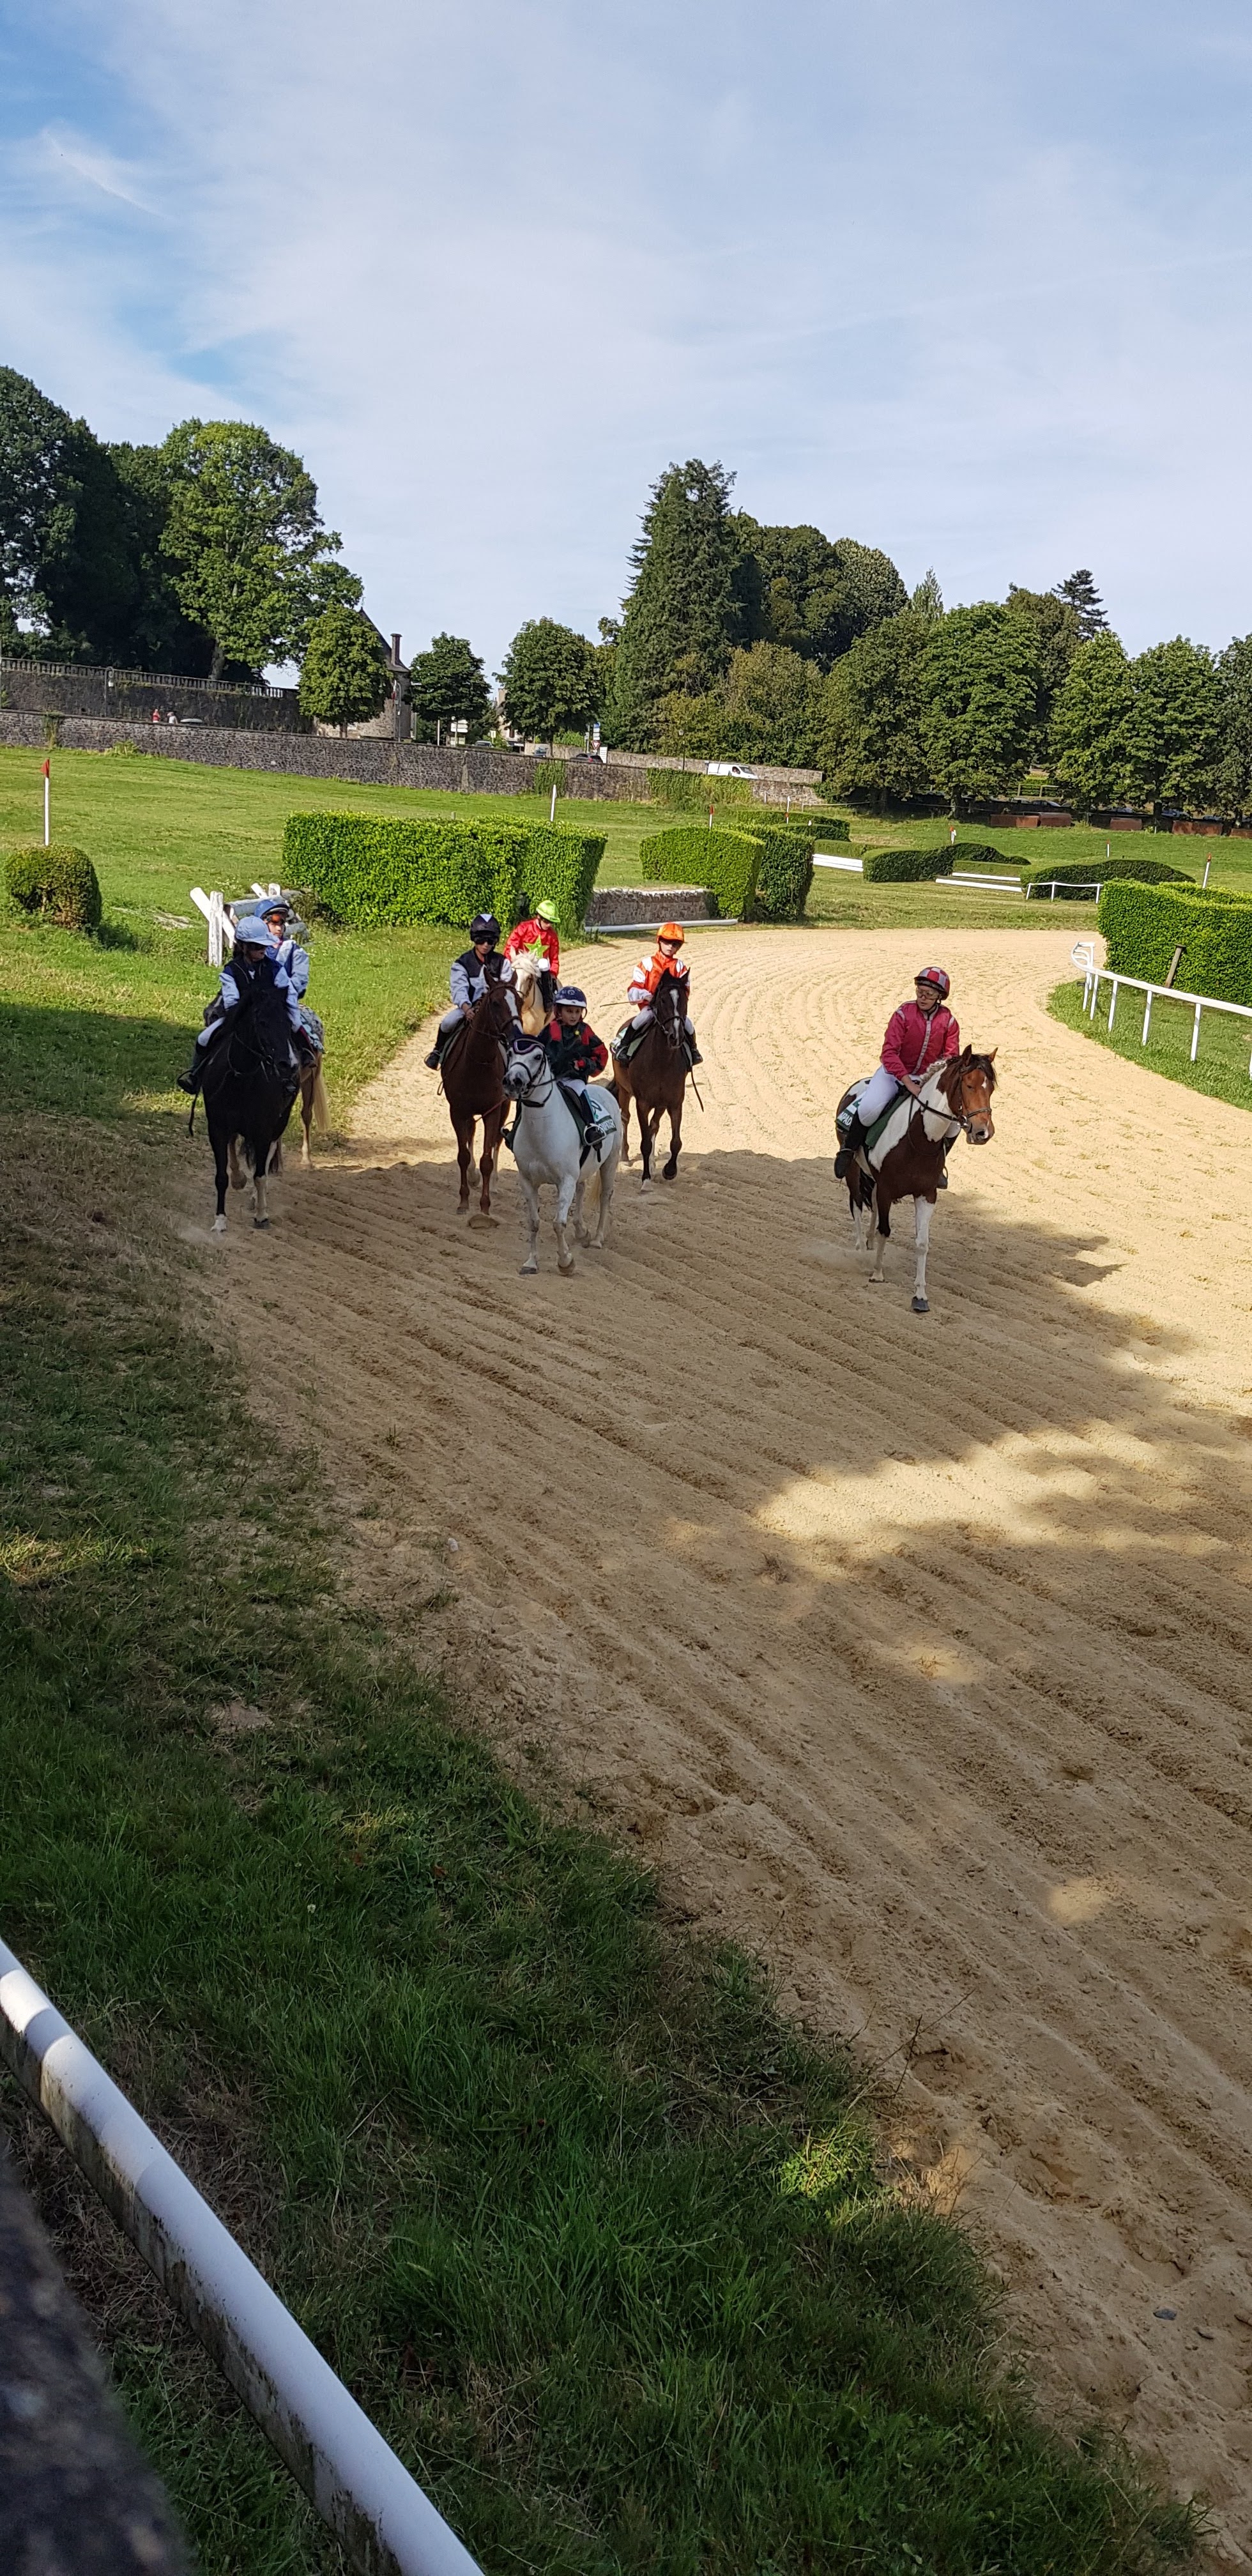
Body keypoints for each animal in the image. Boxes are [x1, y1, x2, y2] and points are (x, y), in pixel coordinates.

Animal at [201, 983, 301, 1235]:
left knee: (266, 1160)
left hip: (279, 1123)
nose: (289, 1064)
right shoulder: (217, 1127)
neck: (241, 1080)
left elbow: (260, 1175)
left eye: (288, 1024)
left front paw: (261, 1215)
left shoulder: (263, 1131)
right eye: (262, 1022)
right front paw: (220, 1221)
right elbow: (221, 1176)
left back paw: (257, 1200)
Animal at [440, 974, 515, 1222]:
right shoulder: (457, 1110)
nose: (514, 1034)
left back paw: (495, 1183)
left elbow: (487, 1160)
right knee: (471, 1133)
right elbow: (463, 1155)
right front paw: (464, 1202)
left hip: (505, 1107)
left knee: (497, 1141)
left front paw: (485, 1206)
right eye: (496, 1003)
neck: (477, 1064)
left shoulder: (493, 1110)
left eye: (519, 1001)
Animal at [502, 1034, 622, 1274]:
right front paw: (531, 1262)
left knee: (605, 1196)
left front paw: (566, 1261)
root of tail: (605, 1091)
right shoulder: (528, 1180)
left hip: (610, 1162)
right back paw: (582, 1231)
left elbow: (558, 1223)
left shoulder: (566, 1179)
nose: (513, 1081)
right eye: (510, 1053)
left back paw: (597, 1239)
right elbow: (534, 1222)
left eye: (537, 1057)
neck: (541, 1128)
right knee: (582, 1189)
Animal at [610, 969, 689, 1186]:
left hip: (660, 1104)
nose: (676, 1037)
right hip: (624, 1090)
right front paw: (645, 1179)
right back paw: (625, 1156)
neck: (661, 1062)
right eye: (662, 1000)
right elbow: (645, 1141)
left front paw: (669, 1170)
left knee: (655, 1125)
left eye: (685, 999)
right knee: (625, 1117)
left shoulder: (674, 1103)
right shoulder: (643, 1103)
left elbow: (676, 1142)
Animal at [835, 1048, 997, 1313]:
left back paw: (868, 1244)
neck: (920, 1139)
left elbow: (922, 1243)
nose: (983, 1132)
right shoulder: (887, 1190)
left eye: (991, 1088)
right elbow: (885, 1230)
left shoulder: (927, 1194)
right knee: (857, 1204)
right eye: (969, 1085)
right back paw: (859, 1249)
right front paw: (877, 1273)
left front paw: (920, 1296)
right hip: (853, 1169)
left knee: (870, 1204)